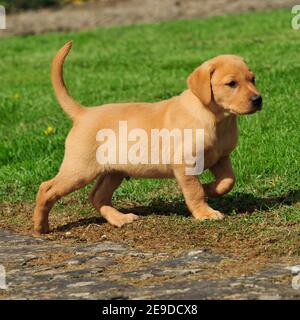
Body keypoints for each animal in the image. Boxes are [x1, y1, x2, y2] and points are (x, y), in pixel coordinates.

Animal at [32, 41, 262, 234]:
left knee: (97, 196)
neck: (215, 118)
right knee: (46, 188)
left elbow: (228, 181)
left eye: (253, 79)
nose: (258, 99)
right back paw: (40, 226)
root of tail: (84, 113)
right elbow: (194, 191)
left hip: (113, 170)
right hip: (80, 168)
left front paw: (209, 189)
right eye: (231, 83)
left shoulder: (221, 157)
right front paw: (204, 212)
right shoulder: (185, 163)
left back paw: (119, 218)